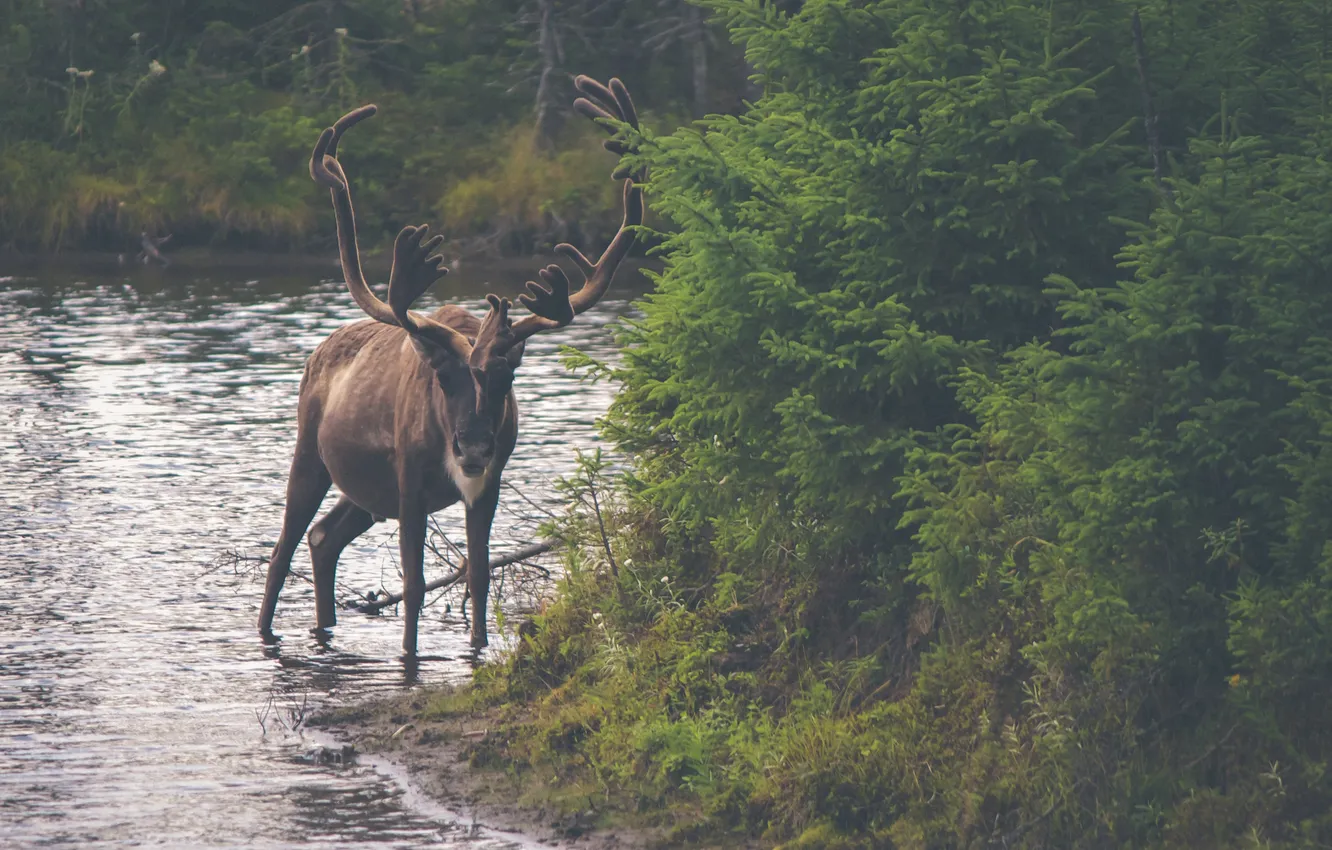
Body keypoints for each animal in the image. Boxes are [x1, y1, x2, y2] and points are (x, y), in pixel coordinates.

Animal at [257, 76, 644, 654]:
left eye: (506, 377)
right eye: (442, 377)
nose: (474, 446)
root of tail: (319, 351)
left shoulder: (489, 483)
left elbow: (478, 574)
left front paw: (478, 648)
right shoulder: (409, 481)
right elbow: (415, 584)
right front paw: (409, 654)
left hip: (365, 493)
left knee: (323, 537)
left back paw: (325, 626)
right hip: (311, 453)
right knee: (282, 549)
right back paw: (267, 629)